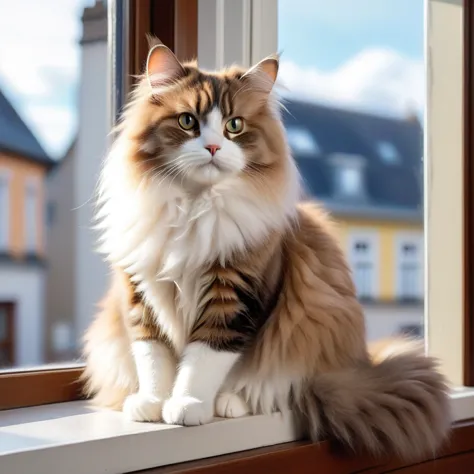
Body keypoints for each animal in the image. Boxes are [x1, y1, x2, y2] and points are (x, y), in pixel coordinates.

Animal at [82, 41, 452, 460]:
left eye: (234, 126)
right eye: (188, 121)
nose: (213, 147)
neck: (195, 206)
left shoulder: (234, 295)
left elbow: (204, 359)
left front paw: (188, 405)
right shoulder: (140, 294)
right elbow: (153, 359)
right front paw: (153, 403)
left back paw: (231, 402)